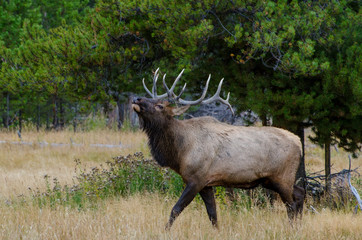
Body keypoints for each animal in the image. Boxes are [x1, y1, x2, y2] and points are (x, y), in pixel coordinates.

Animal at [132, 68, 304, 230]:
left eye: (160, 106)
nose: (136, 99)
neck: (180, 152)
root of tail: (299, 143)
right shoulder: (206, 183)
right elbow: (212, 214)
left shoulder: (196, 178)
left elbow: (176, 209)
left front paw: (165, 231)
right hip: (272, 179)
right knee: (300, 193)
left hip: (282, 177)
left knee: (291, 205)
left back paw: (292, 228)